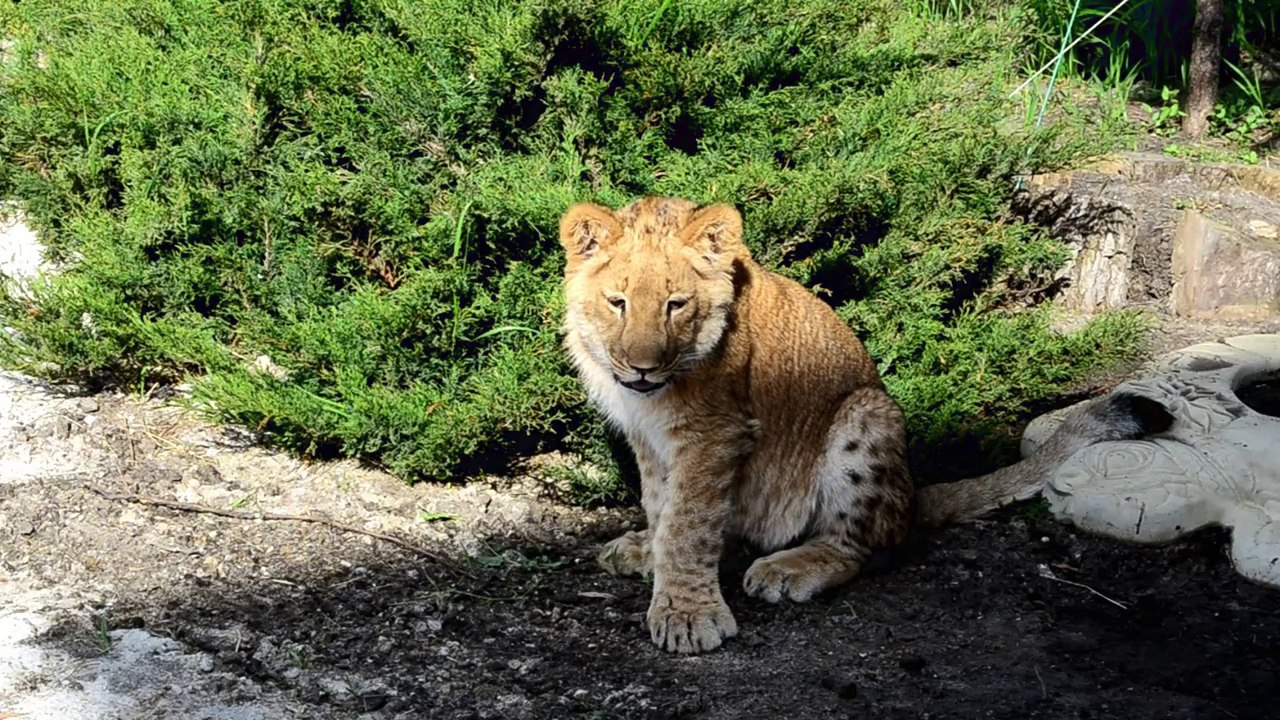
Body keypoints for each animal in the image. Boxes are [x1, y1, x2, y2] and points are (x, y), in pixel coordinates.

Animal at [560, 197, 1167, 654]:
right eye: (617, 302)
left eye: (676, 304)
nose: (641, 367)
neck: (654, 394)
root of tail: (913, 492)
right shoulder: (649, 437)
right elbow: (662, 505)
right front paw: (651, 555)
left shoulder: (716, 432)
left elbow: (689, 524)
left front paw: (688, 615)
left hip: (866, 415)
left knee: (864, 545)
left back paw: (788, 569)